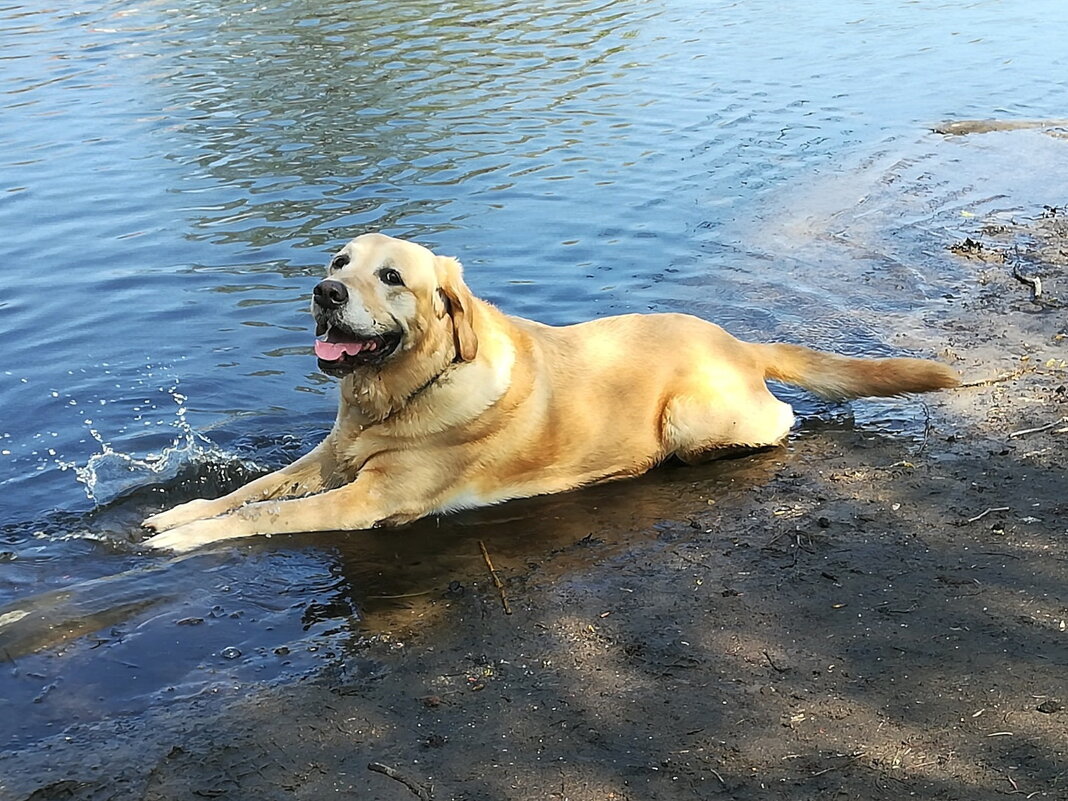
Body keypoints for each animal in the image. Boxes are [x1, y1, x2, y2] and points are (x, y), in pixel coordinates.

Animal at [144, 231, 961, 551]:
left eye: (391, 277)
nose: (323, 292)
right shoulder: (329, 458)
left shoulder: (366, 500)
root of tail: (739, 342)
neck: (394, 395)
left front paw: (185, 540)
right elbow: (252, 490)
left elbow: (267, 518)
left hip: (691, 418)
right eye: (339, 260)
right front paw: (180, 513)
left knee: (775, 421)